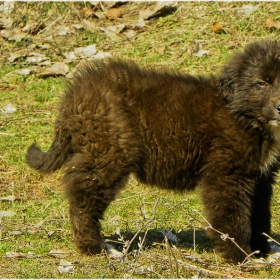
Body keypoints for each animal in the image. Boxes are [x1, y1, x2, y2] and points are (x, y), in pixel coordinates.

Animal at [26, 40, 280, 264]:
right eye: (262, 83)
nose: (279, 106)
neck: (243, 116)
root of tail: (75, 93)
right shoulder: (227, 176)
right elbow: (233, 219)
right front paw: (240, 256)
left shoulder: (262, 176)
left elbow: (260, 215)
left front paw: (262, 251)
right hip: (108, 154)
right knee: (82, 199)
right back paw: (96, 248)